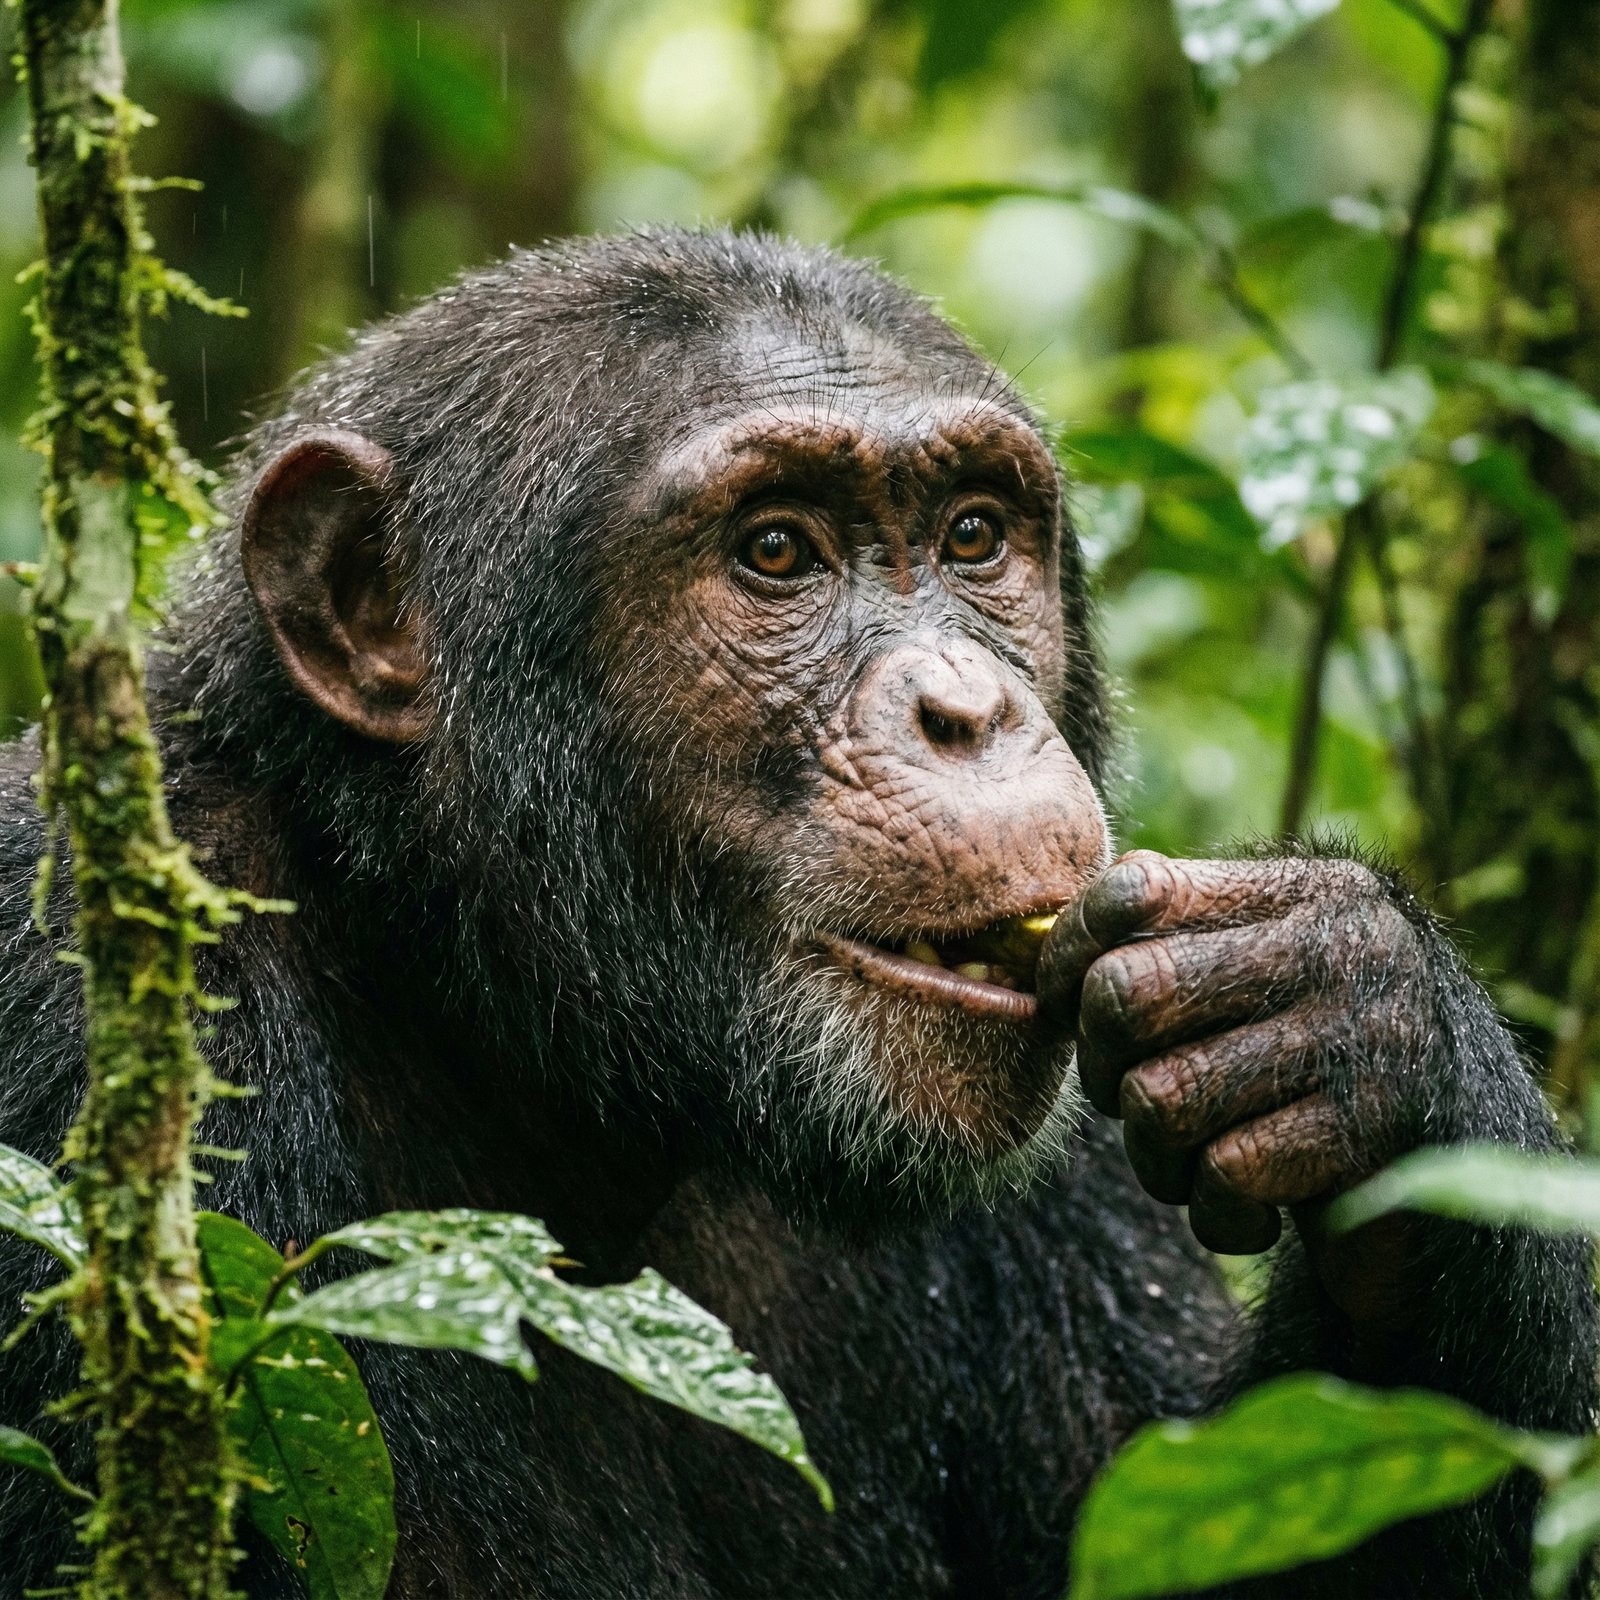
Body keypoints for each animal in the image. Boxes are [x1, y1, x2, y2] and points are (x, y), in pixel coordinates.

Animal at [0, 228, 1593, 1598]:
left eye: (972, 537)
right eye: (776, 553)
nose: (967, 709)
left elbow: (1167, 1515)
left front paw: (1357, 1026)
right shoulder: (77, 999)